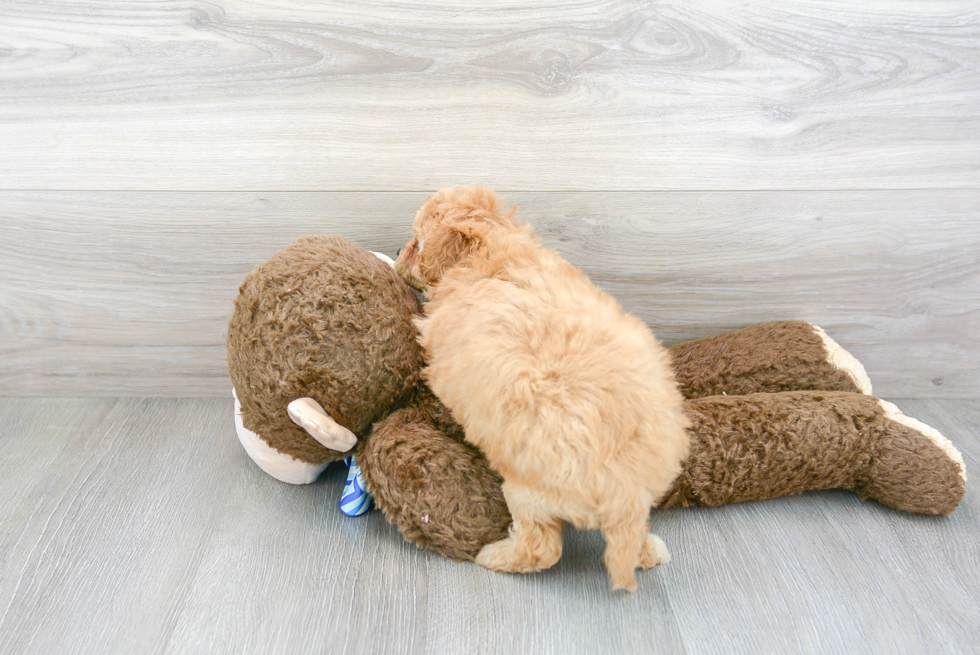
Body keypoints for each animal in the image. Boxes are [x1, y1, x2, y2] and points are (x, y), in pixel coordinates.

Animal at [396, 187, 688, 592]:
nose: (397, 250)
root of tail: (626, 492)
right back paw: (652, 552)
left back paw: (495, 555)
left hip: (527, 492)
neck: (492, 248)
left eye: (415, 243)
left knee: (541, 549)